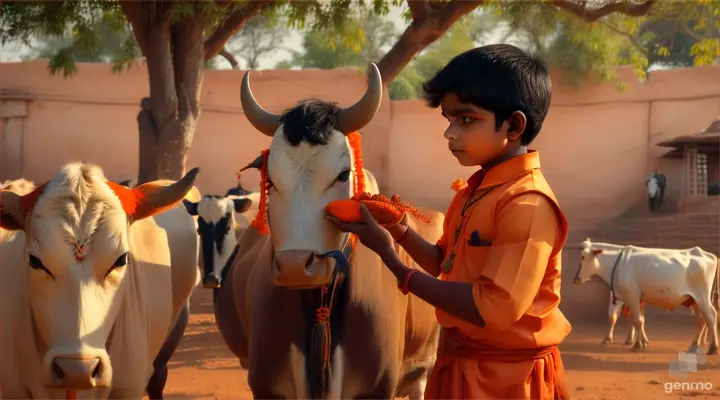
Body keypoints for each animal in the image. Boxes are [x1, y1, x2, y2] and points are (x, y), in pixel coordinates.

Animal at [572, 238, 720, 354]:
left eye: (583, 257)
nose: (576, 279)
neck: (616, 264)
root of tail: (708, 255)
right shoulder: (639, 299)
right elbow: (641, 321)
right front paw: (643, 343)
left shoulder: (632, 296)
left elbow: (637, 320)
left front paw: (637, 345)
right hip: (694, 300)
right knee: (701, 319)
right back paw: (695, 344)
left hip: (702, 298)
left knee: (711, 316)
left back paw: (713, 348)